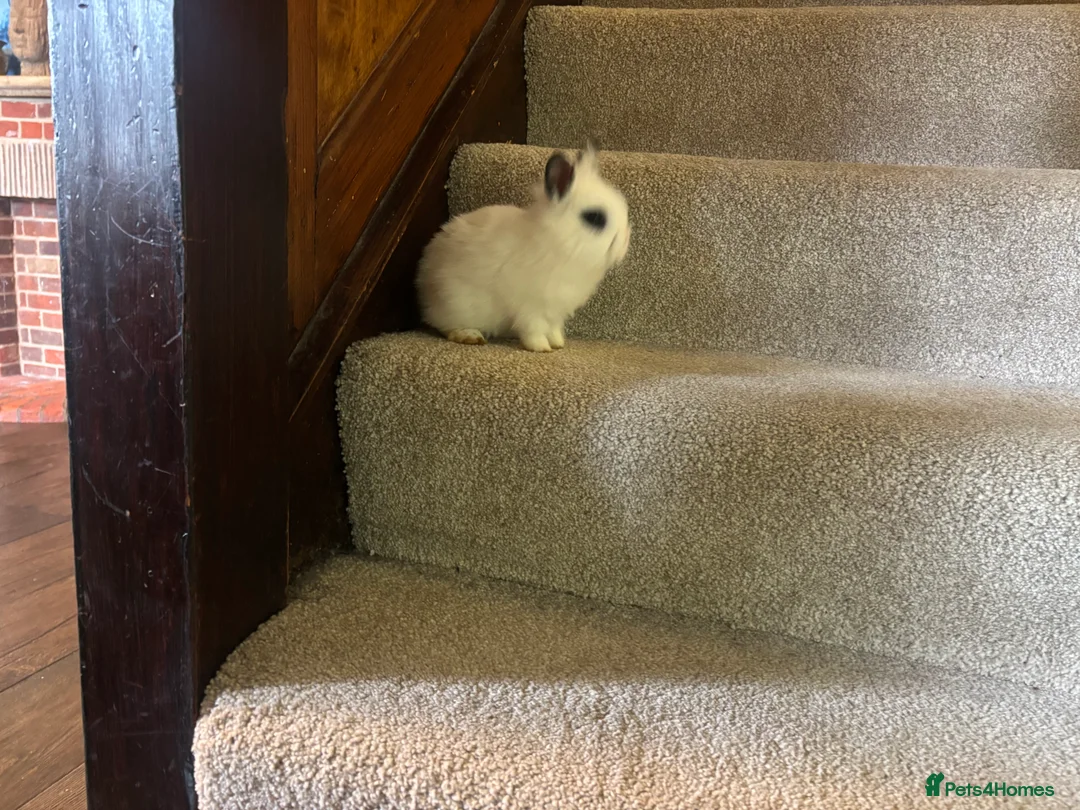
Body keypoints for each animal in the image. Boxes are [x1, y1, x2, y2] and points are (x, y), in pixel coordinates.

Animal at [415, 144, 631, 352]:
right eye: (594, 218)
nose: (623, 247)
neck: (559, 244)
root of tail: (424, 285)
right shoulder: (530, 307)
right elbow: (533, 329)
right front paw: (541, 348)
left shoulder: (555, 311)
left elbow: (553, 328)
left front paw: (558, 343)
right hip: (456, 304)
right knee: (444, 326)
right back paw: (470, 336)